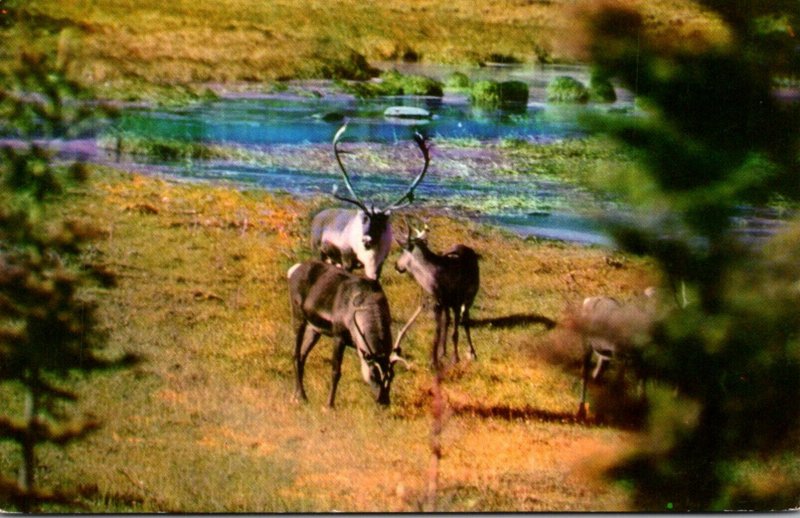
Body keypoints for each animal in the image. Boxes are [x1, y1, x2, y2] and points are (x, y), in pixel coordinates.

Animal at [288, 262, 410, 408]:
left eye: (391, 375)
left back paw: (296, 396)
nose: (383, 401)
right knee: (295, 354)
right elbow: (336, 371)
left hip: (314, 329)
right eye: (373, 374)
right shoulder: (339, 336)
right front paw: (329, 405)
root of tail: (294, 269)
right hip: (298, 317)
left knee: (302, 355)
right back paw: (302, 396)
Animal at [396, 226, 478, 366]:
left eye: (402, 250)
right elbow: (438, 331)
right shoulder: (437, 303)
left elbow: (455, 334)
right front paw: (434, 358)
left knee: (465, 321)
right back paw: (443, 352)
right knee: (447, 322)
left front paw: (456, 358)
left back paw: (472, 352)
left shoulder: (456, 302)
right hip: (447, 305)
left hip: (470, 297)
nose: (396, 265)